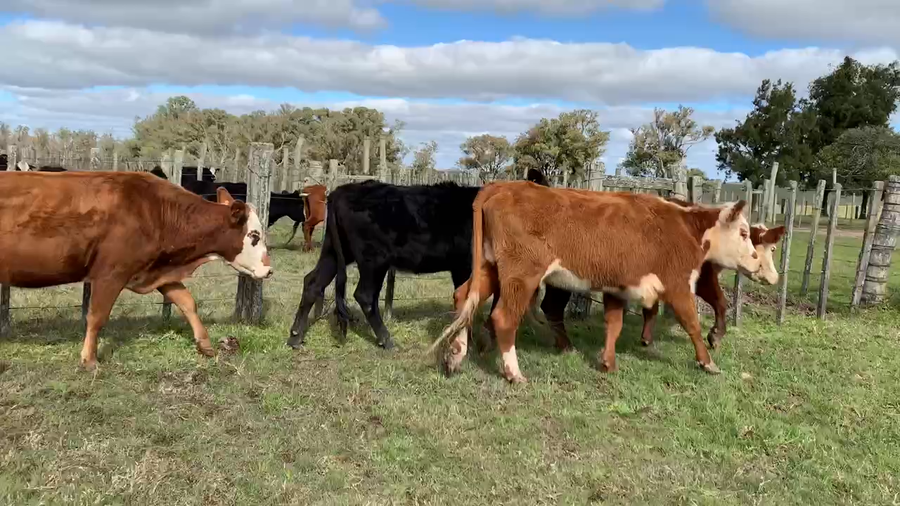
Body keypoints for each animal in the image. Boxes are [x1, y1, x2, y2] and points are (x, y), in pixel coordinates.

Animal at [0, 171, 272, 370]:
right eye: (254, 235)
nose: (269, 270)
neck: (155, 211)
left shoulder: (158, 271)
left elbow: (187, 302)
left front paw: (205, 345)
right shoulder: (110, 273)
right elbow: (97, 316)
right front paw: (90, 360)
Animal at [432, 181, 761, 383]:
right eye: (744, 233)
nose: (758, 261)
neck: (684, 227)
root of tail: (505, 185)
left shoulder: (617, 287)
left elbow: (614, 324)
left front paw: (608, 362)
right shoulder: (677, 286)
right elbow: (692, 324)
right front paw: (707, 362)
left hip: (488, 268)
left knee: (464, 297)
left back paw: (456, 355)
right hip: (521, 275)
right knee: (502, 317)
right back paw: (514, 373)